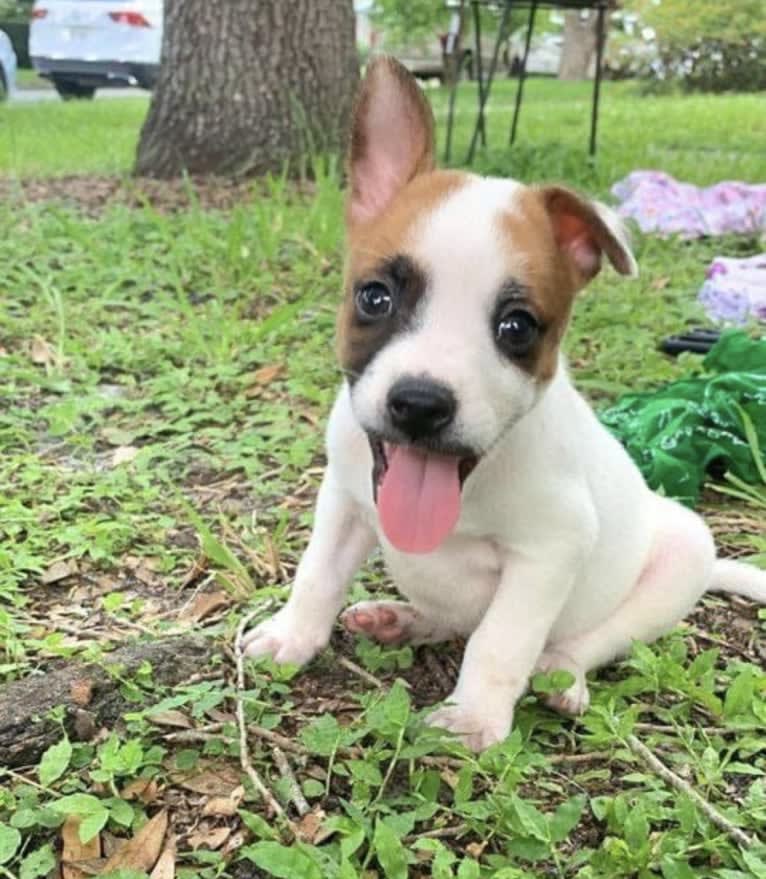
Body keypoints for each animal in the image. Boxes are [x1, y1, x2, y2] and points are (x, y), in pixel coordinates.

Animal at [244, 58, 766, 752]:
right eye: (375, 297)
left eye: (516, 327)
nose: (421, 403)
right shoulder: (346, 502)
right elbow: (318, 573)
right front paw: (292, 636)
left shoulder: (550, 551)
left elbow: (500, 640)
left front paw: (473, 717)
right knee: (450, 619)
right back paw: (402, 620)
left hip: (680, 556)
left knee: (587, 639)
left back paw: (561, 675)